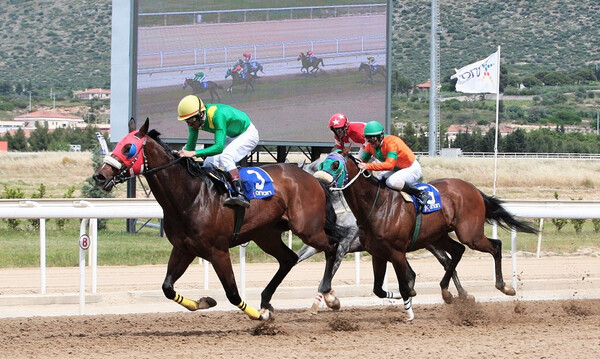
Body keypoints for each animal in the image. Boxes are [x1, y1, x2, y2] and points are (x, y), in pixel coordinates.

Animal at [91, 119, 350, 322]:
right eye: (116, 145)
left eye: (128, 148)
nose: (99, 176)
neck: (191, 196)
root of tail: (313, 178)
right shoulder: (184, 249)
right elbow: (167, 288)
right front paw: (204, 301)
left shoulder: (218, 251)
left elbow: (233, 293)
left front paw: (258, 317)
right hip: (266, 234)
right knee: (289, 258)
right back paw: (266, 301)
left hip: (307, 228)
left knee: (332, 246)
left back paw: (329, 296)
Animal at [314, 151, 540, 320]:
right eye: (321, 163)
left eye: (335, 164)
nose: (320, 181)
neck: (376, 205)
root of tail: (473, 189)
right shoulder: (378, 253)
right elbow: (379, 289)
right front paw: (403, 296)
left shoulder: (396, 252)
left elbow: (404, 283)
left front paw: (409, 313)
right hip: (438, 236)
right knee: (457, 252)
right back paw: (447, 292)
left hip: (470, 234)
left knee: (495, 246)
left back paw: (505, 287)